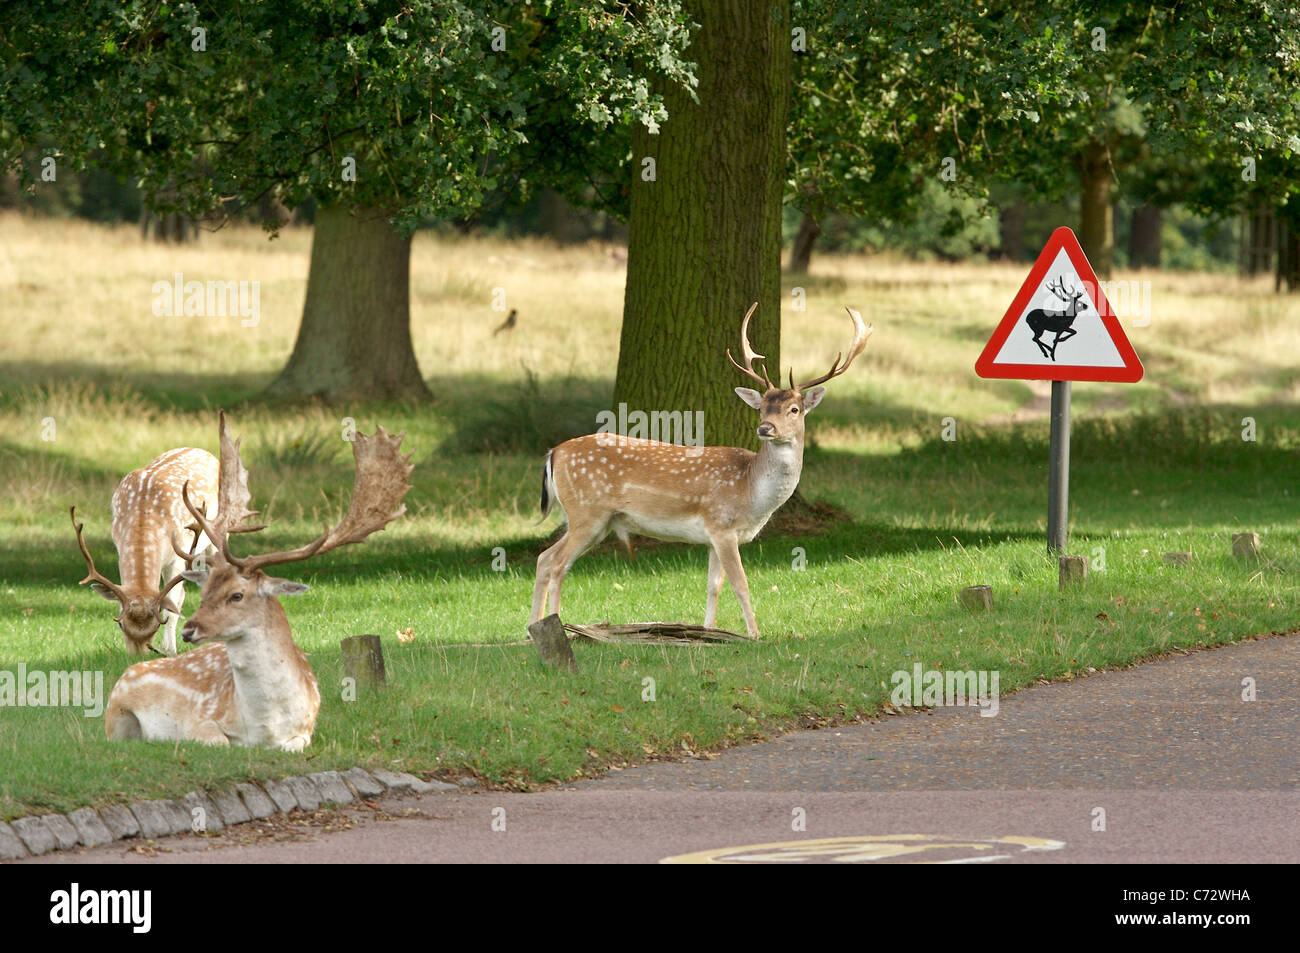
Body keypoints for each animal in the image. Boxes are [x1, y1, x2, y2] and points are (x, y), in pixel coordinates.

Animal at [72, 447, 220, 655]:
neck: (144, 514)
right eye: (120, 624)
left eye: (157, 625)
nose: (137, 656)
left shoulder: (177, 556)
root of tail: (203, 451)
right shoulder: (119, 546)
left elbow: (171, 608)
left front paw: (170, 650)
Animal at [527, 302, 873, 639]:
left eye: (794, 409)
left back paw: (533, 629)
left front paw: (707, 631)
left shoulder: (712, 536)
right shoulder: (721, 524)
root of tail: (554, 453)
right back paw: (558, 626)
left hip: (596, 521)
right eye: (762, 407)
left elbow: (713, 586)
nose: (765, 428)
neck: (750, 491)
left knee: (545, 558)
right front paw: (755, 634)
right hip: (588, 511)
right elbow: (741, 583)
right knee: (556, 563)